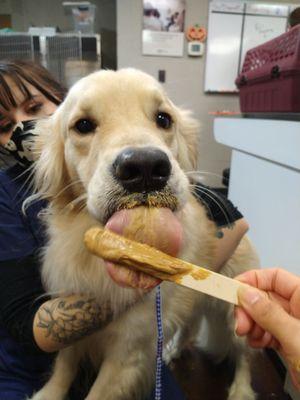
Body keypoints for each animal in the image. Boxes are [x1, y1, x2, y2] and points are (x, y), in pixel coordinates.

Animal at [31, 69, 260, 400]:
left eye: (163, 119)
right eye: (83, 125)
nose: (145, 167)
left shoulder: (128, 353)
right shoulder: (71, 314)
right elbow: (63, 365)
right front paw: (47, 393)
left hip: (236, 311)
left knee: (243, 354)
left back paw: (241, 389)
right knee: (190, 325)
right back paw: (173, 349)